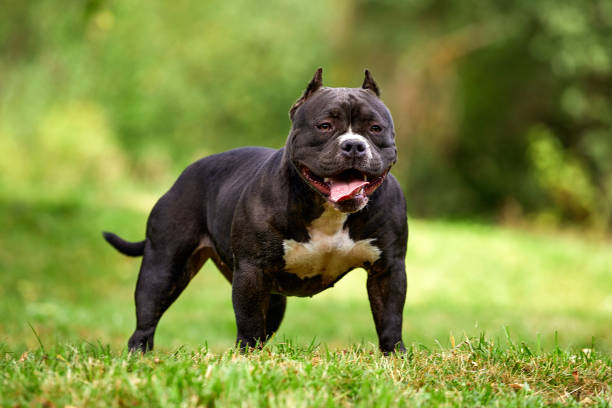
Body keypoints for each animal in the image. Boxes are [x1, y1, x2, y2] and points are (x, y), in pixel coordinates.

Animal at [103, 67, 408, 354]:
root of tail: (183, 175)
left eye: (375, 128)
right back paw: (139, 353)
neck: (329, 211)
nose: (354, 145)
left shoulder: (388, 270)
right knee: (147, 317)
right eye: (324, 126)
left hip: (272, 297)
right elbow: (248, 322)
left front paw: (395, 355)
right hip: (164, 267)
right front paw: (246, 358)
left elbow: (390, 318)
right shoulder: (252, 272)